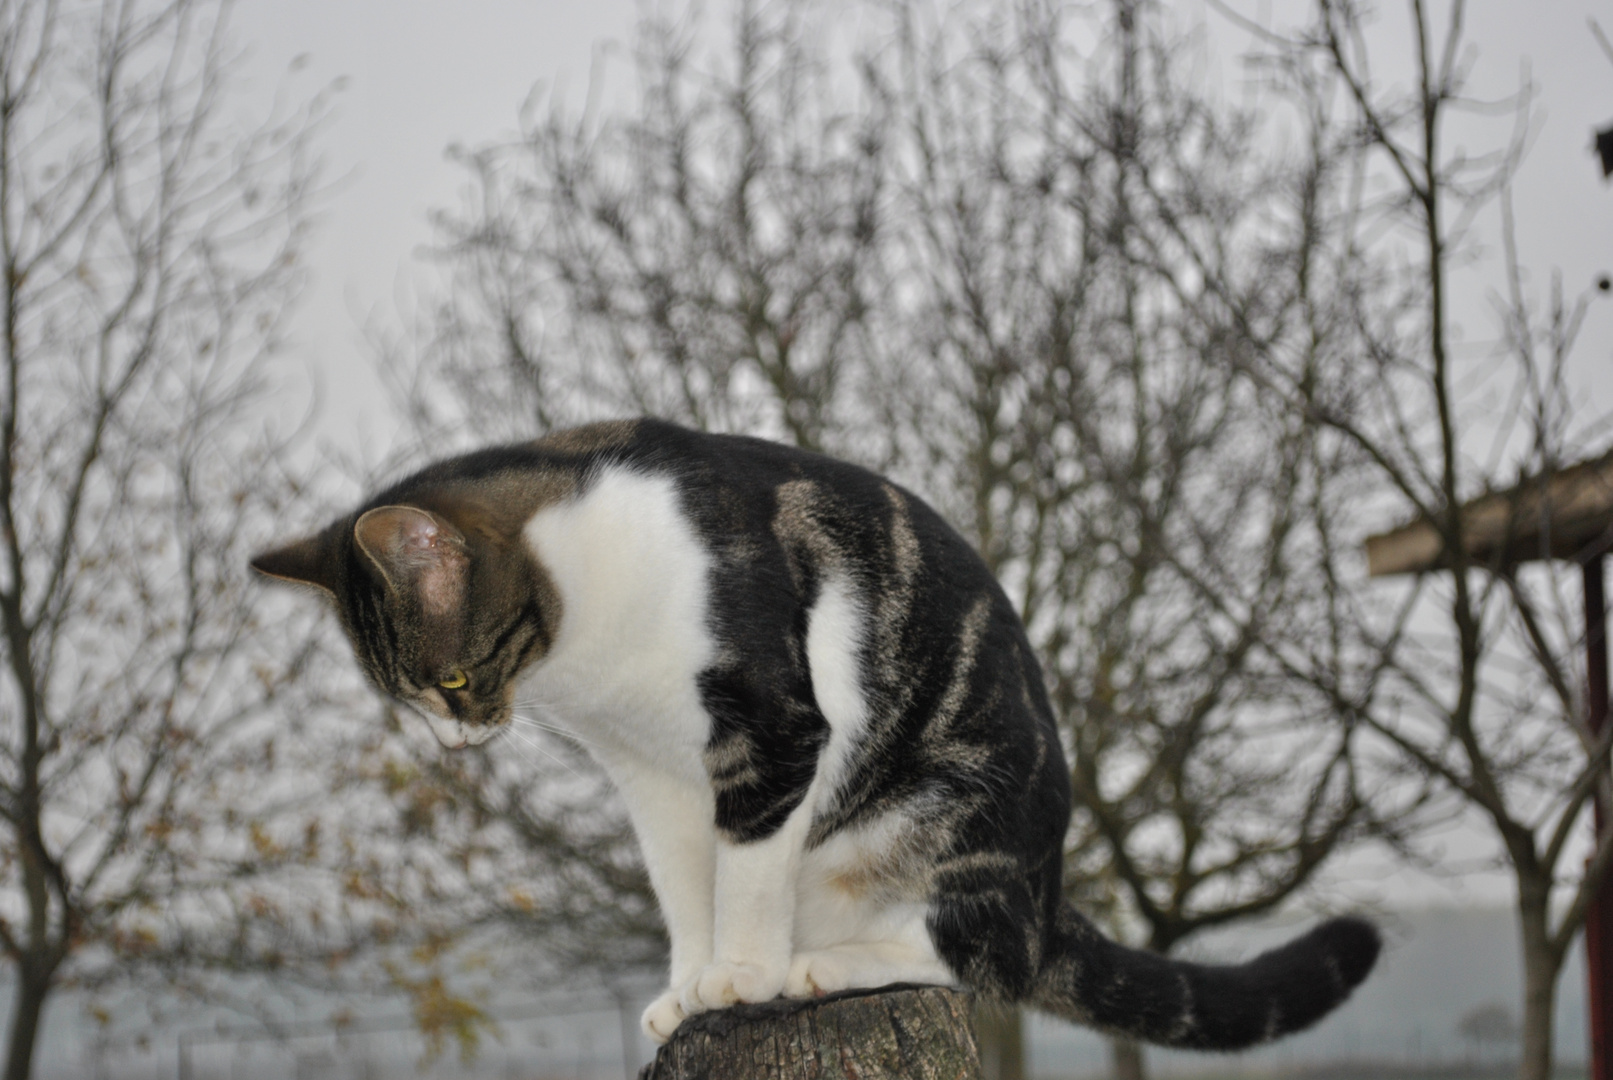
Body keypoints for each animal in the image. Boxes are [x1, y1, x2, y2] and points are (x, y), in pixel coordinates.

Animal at [248, 422, 1374, 1050]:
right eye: (408, 699)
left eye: (449, 678)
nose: (454, 742)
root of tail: (1049, 892)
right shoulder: (653, 779)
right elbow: (683, 884)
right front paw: (686, 988)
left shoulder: (775, 728)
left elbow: (743, 871)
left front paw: (740, 975)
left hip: (943, 810)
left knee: (982, 957)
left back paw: (822, 967)